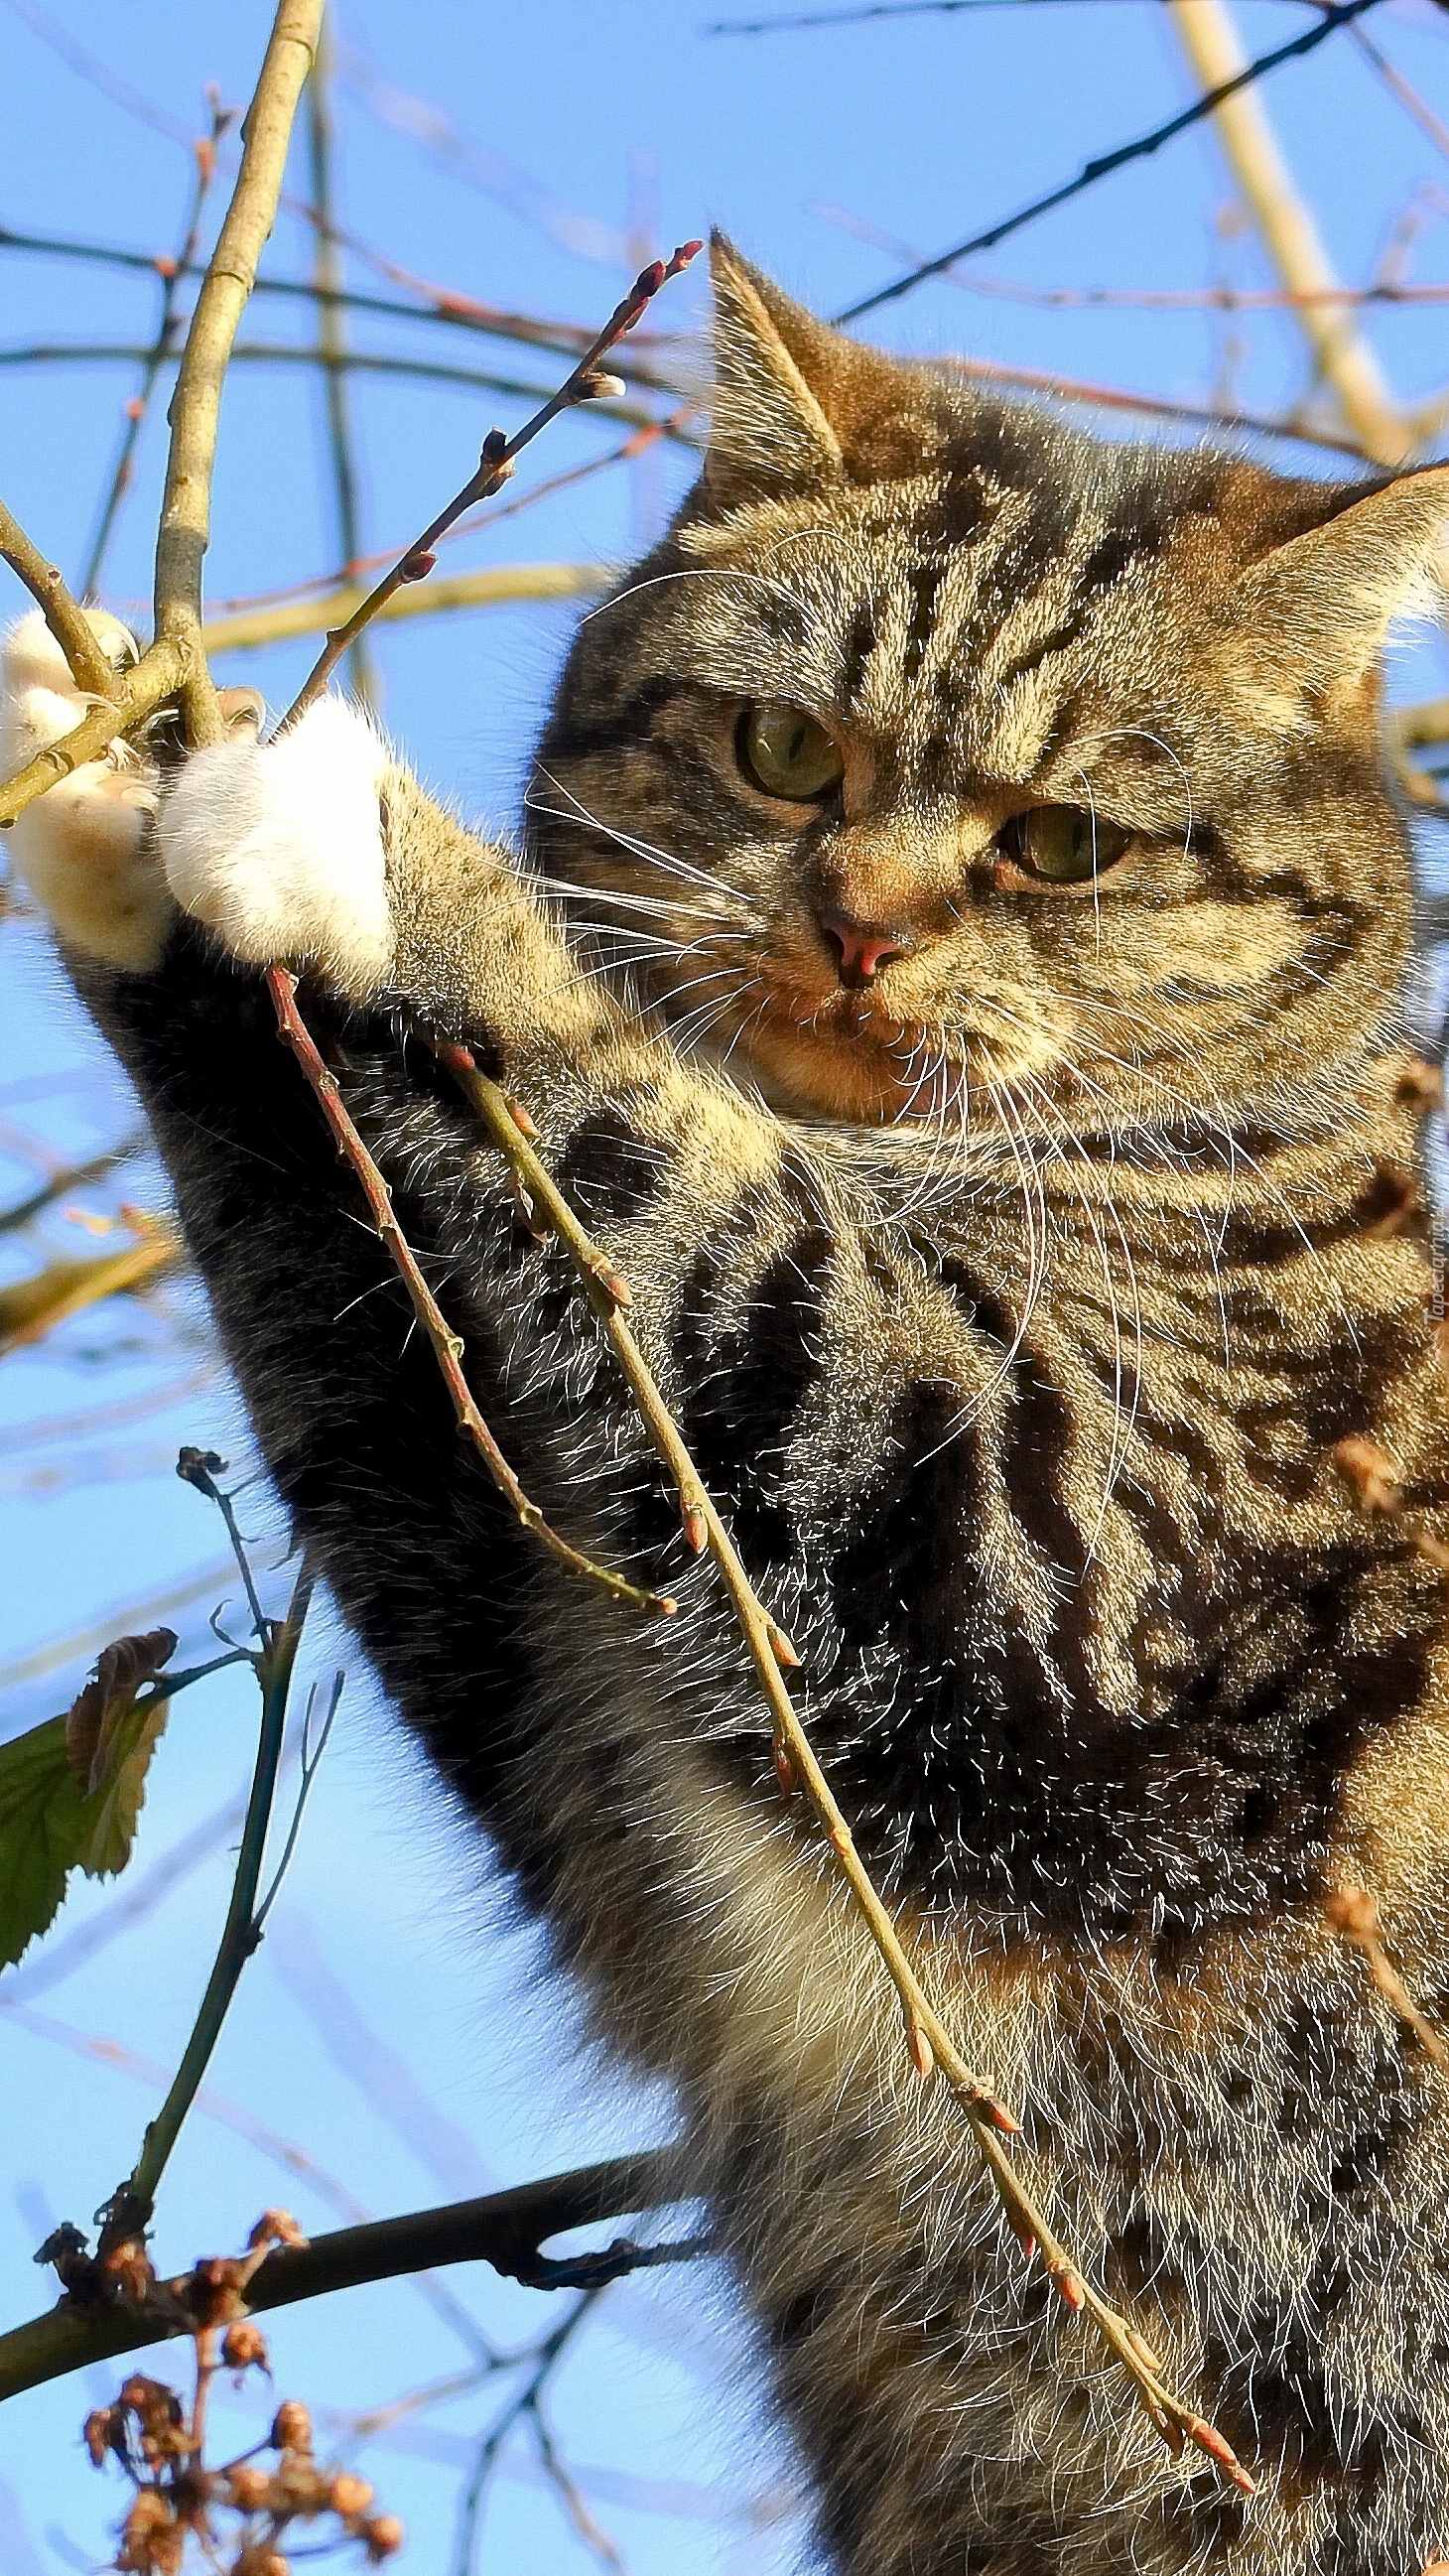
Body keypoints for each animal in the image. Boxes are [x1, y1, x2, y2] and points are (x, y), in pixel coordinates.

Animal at [8, 236, 1449, 2555]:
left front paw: (341, 830)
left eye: (1062, 845)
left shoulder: (1046, 1546)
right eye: (782, 751)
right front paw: (110, 808)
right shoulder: (564, 1683)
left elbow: (689, 1176)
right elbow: (368, 1304)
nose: (856, 929)